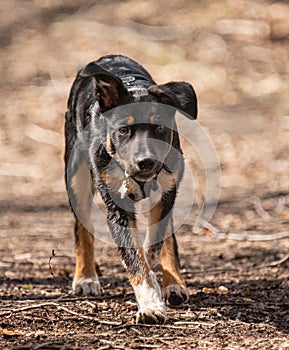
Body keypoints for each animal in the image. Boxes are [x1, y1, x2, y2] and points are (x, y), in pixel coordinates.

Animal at [64, 53, 197, 324]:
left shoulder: (168, 189)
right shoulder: (117, 209)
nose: (146, 161)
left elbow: (157, 240)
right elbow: (135, 260)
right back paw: (85, 277)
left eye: (159, 128)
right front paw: (150, 305)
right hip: (75, 175)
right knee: (81, 226)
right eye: (123, 130)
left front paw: (157, 270)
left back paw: (173, 283)